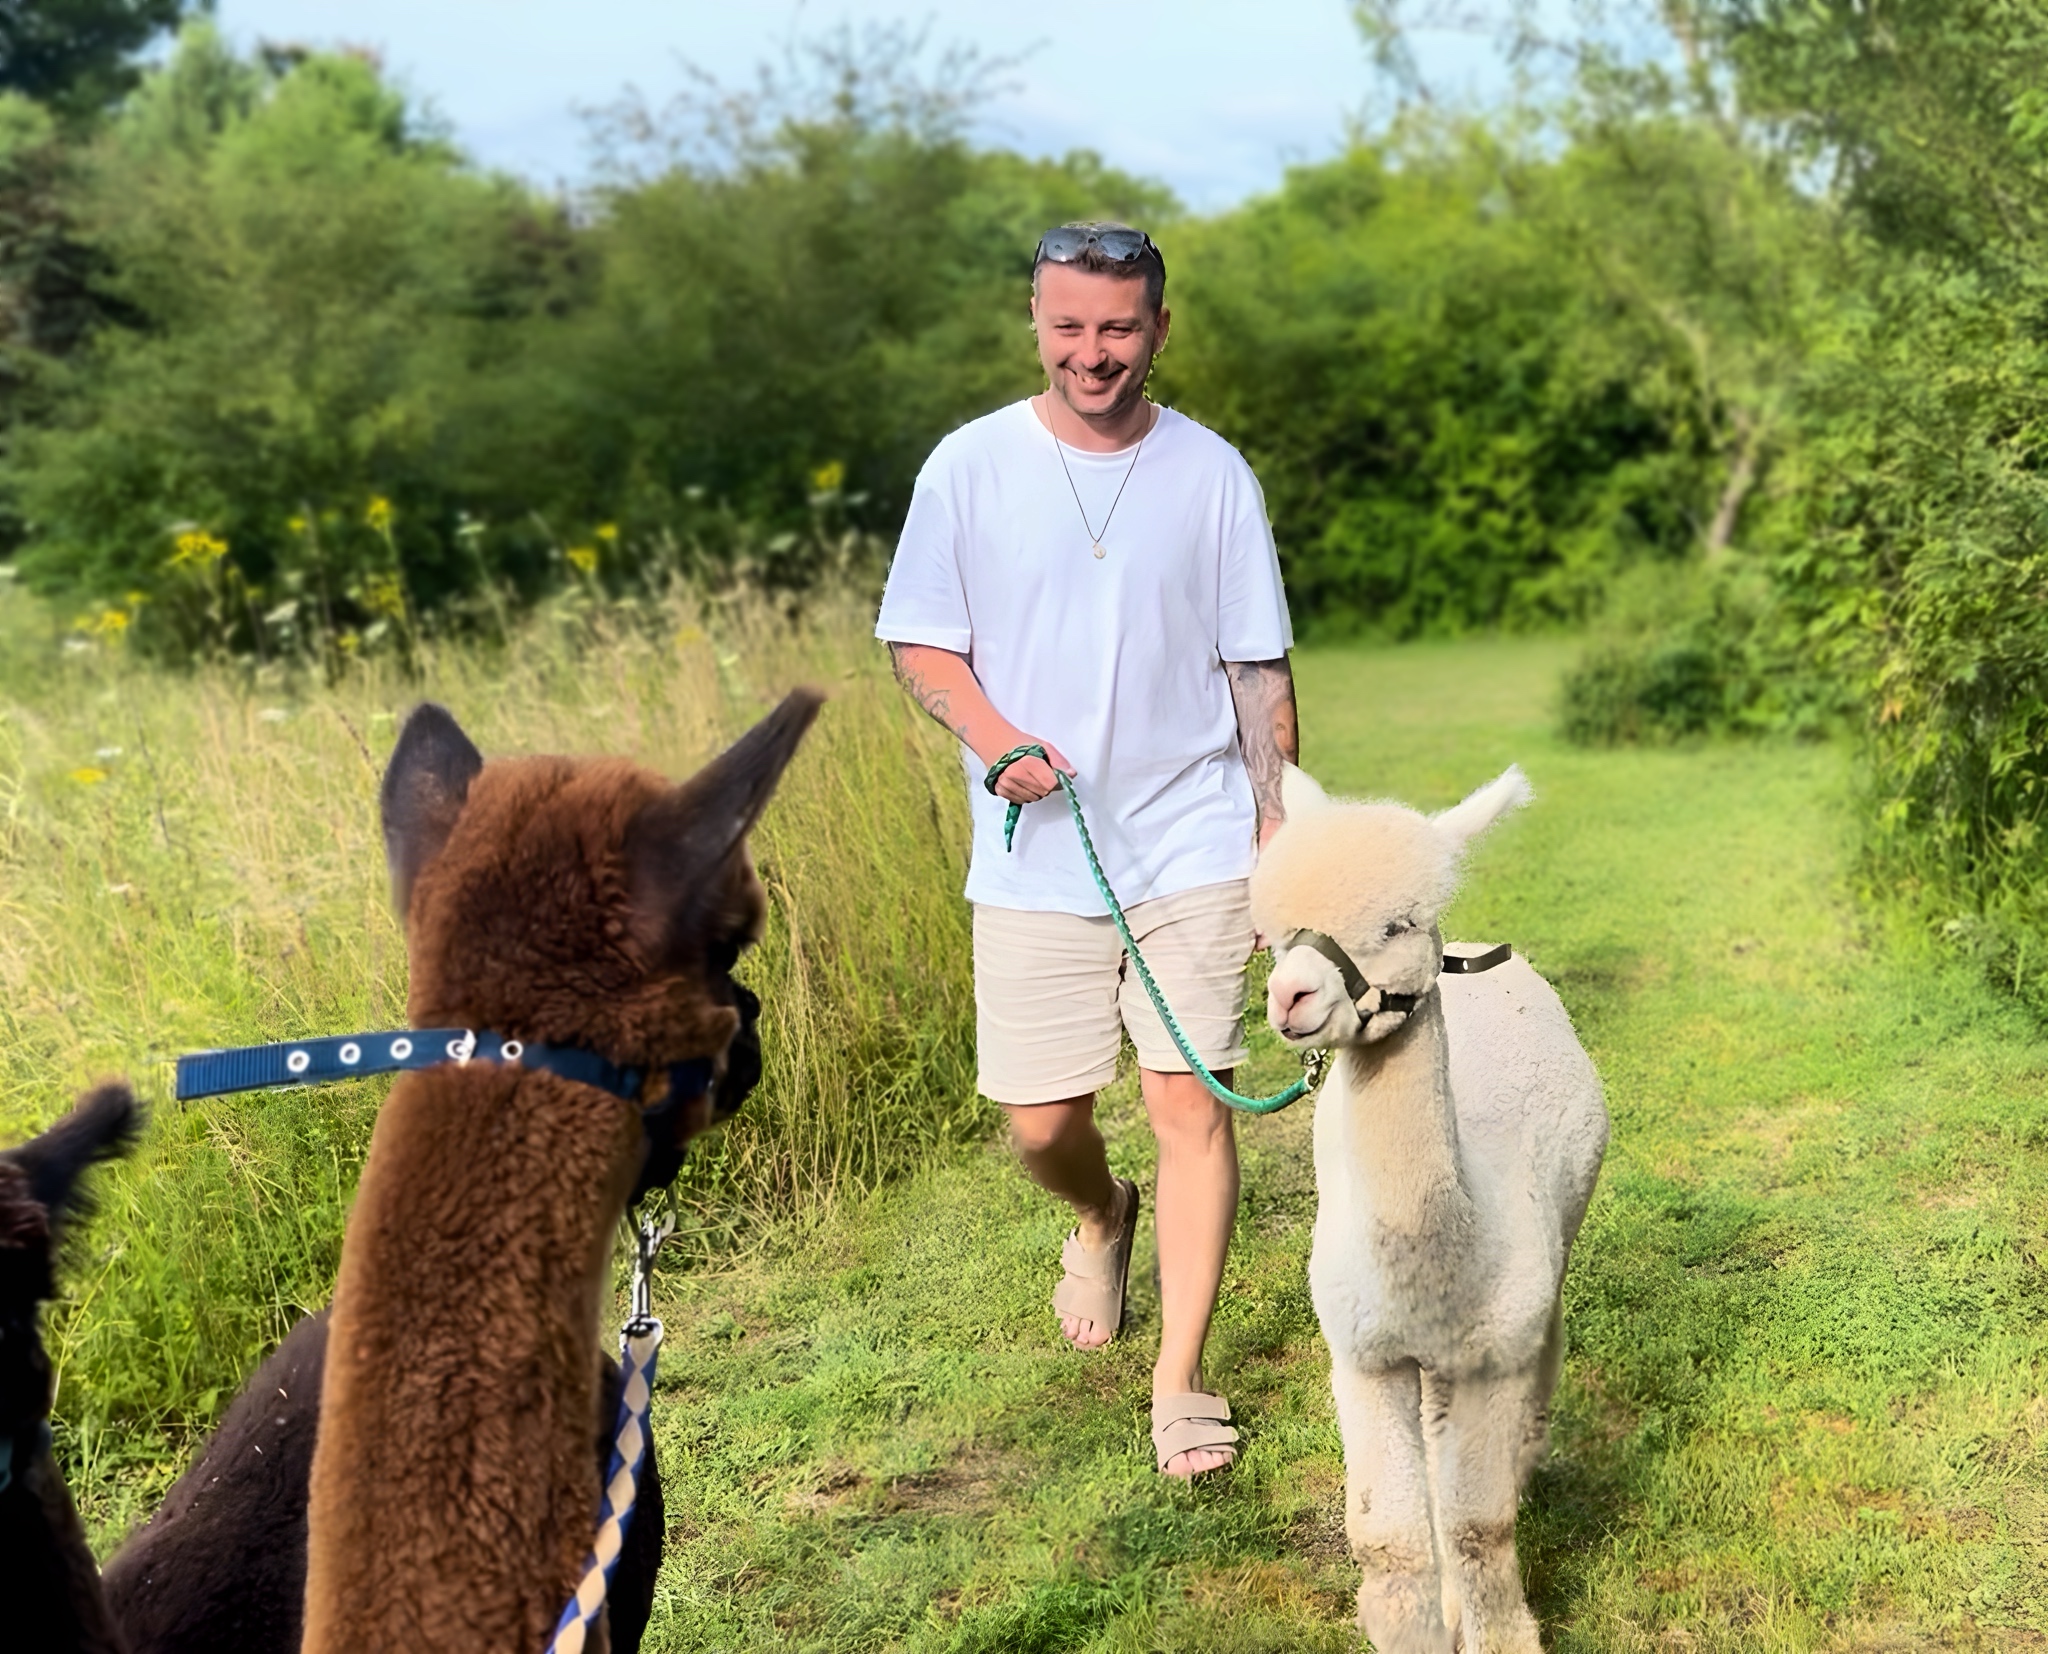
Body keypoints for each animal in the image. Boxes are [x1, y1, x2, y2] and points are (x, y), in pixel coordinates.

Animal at [1250, 763, 1608, 1653]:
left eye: (1397, 923)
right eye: (1275, 933)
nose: (1290, 996)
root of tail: (1476, 952)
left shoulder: (1493, 1350)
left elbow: (1479, 1527)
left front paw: (1495, 1631)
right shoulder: (1362, 1352)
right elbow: (1390, 1539)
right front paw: (1413, 1620)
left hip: (1549, 1261)